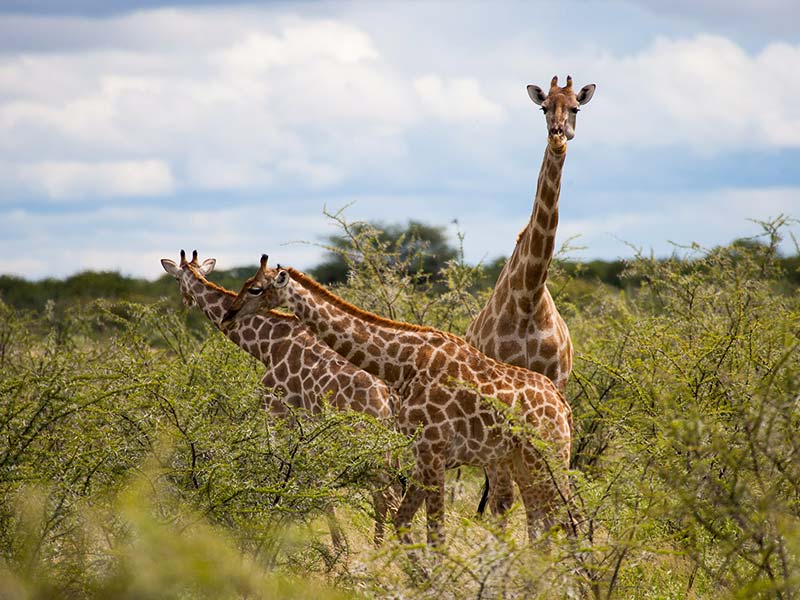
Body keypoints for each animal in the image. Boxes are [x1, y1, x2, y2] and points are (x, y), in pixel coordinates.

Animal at [160, 248, 400, 544]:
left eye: (177, 279)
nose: (186, 300)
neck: (267, 346)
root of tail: (387, 395)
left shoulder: (277, 411)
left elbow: (289, 475)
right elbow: (314, 481)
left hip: (366, 439)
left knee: (385, 495)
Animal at [222, 254, 580, 548]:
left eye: (255, 289)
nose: (228, 314)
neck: (404, 365)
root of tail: (563, 406)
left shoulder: (433, 451)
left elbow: (434, 533)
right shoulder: (423, 454)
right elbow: (403, 521)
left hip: (548, 456)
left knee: (569, 516)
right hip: (522, 460)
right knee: (548, 520)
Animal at [466, 75, 592, 516]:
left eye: (576, 107)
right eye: (543, 108)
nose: (558, 136)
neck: (528, 296)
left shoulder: (556, 387)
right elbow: (503, 498)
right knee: (498, 492)